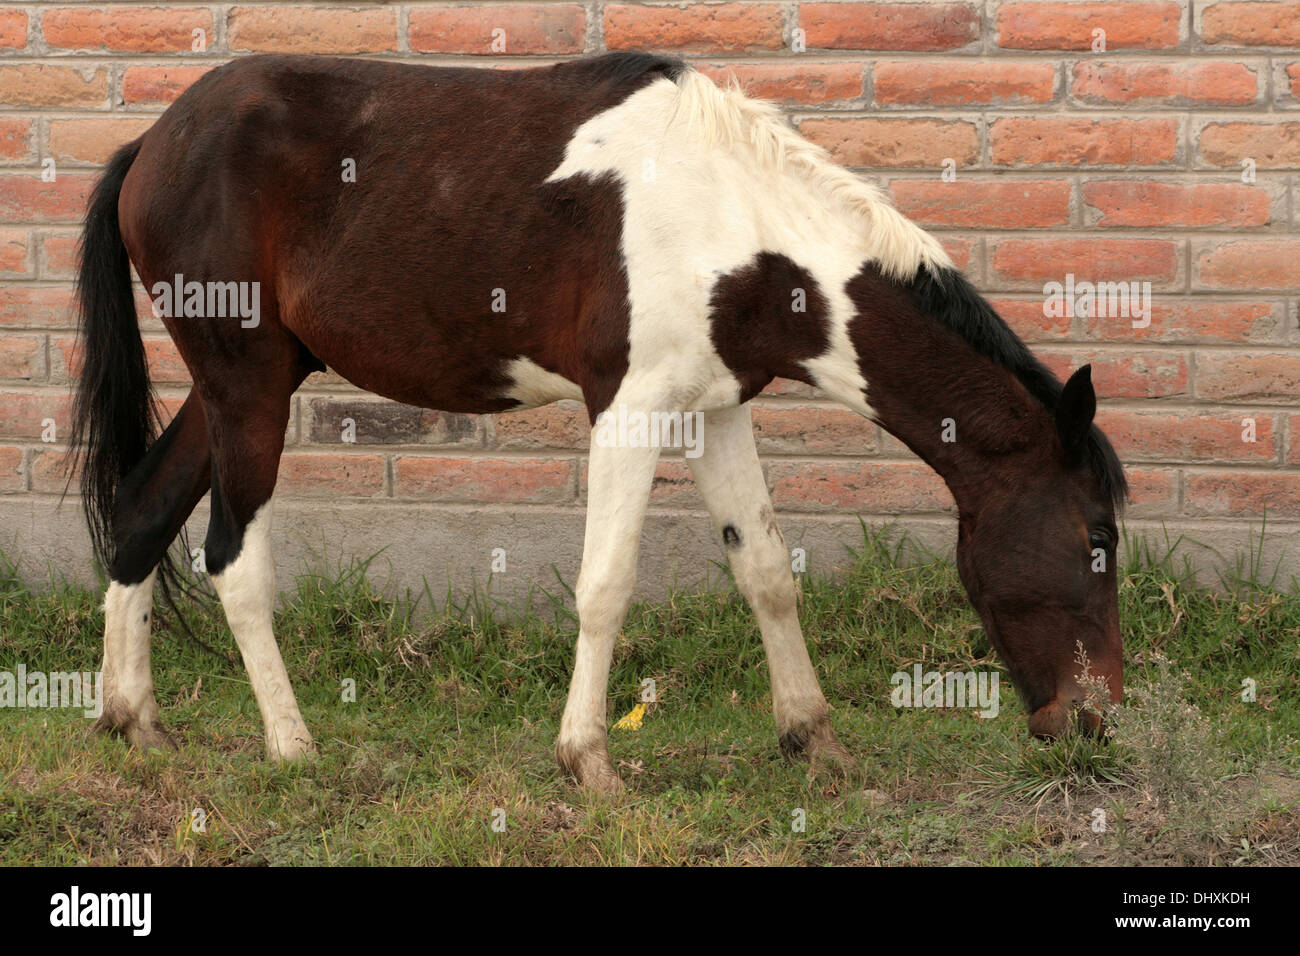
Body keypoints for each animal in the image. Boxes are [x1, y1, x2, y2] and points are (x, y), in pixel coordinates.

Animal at [70, 51, 1127, 793]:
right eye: (1098, 536)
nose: (1096, 722)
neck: (737, 227)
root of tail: (150, 145)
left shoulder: (717, 413)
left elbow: (765, 572)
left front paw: (812, 737)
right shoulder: (628, 410)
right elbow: (606, 587)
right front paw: (587, 762)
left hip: (241, 387)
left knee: (141, 510)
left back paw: (134, 722)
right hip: (247, 387)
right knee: (231, 560)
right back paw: (292, 747)